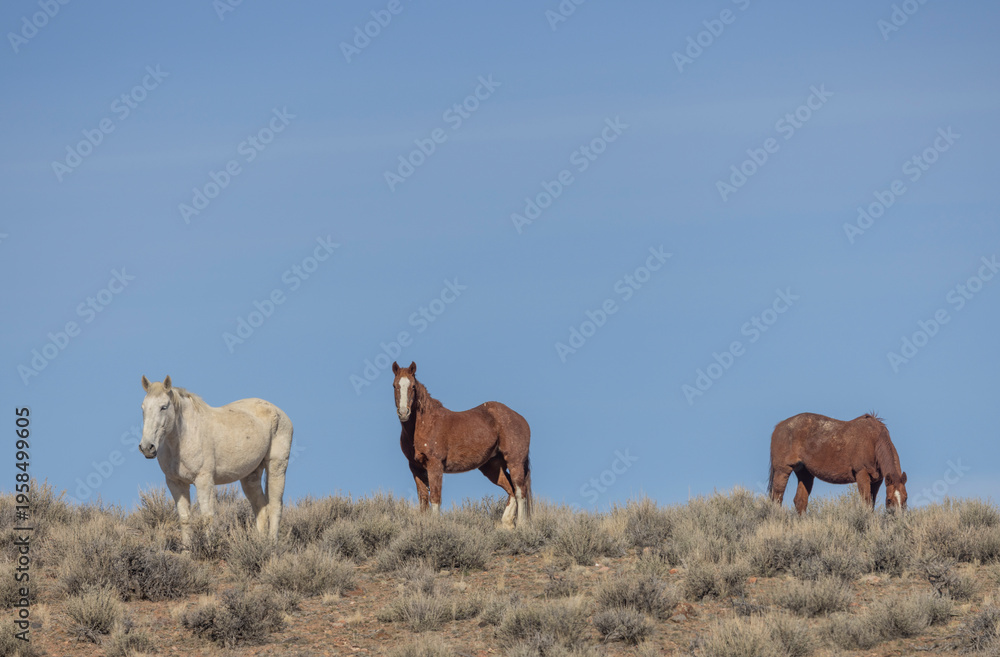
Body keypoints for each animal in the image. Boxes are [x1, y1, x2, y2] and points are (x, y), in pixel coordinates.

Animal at [138, 375, 293, 548]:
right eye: (143, 408)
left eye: (164, 407)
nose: (147, 447)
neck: (184, 437)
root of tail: (279, 412)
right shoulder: (175, 483)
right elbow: (185, 518)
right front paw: (187, 550)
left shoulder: (204, 480)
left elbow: (207, 516)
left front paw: (209, 548)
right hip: (251, 476)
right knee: (261, 508)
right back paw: (260, 544)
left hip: (277, 467)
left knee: (275, 506)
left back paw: (272, 545)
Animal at [391, 361, 532, 528]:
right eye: (394, 385)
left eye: (412, 386)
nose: (403, 413)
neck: (424, 424)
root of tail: (520, 418)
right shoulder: (415, 467)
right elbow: (423, 497)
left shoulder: (435, 465)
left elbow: (435, 498)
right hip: (493, 467)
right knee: (511, 490)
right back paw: (507, 525)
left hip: (515, 462)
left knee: (520, 491)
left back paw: (522, 526)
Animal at [767, 412, 907, 514]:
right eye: (889, 500)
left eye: (905, 498)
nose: (898, 519)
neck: (874, 440)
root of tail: (779, 426)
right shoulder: (862, 474)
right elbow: (866, 503)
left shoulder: (877, 480)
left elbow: (871, 504)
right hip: (782, 470)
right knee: (777, 498)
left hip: (805, 473)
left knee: (800, 501)